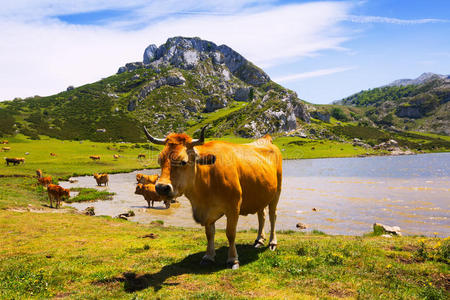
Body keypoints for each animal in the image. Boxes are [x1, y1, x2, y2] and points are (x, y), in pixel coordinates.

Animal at [143, 125, 282, 268]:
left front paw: (233, 259)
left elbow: (230, 233)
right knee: (262, 216)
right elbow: (209, 233)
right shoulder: (207, 212)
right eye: (159, 160)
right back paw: (259, 240)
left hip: (277, 192)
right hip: (261, 194)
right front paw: (208, 256)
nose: (161, 187)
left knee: (272, 216)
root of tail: (266, 140)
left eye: (183, 162)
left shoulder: (233, 207)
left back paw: (272, 242)